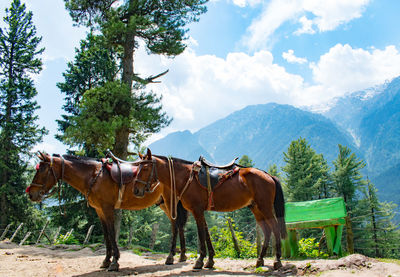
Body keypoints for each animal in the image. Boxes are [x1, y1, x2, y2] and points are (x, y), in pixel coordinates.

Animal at [26, 151, 189, 270]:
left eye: (42, 170)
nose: (31, 194)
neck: (94, 176)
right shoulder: (99, 211)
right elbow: (106, 235)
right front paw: (106, 260)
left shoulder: (108, 209)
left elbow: (111, 233)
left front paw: (115, 261)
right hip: (163, 204)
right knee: (178, 225)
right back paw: (182, 256)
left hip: (169, 202)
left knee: (175, 226)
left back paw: (171, 257)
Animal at [134, 149, 288, 270]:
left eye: (145, 168)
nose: (136, 190)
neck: (186, 178)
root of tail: (268, 175)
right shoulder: (200, 211)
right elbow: (206, 233)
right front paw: (210, 261)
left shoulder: (196, 210)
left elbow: (201, 233)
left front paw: (199, 261)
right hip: (256, 208)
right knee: (267, 230)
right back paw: (260, 260)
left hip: (265, 207)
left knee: (274, 227)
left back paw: (277, 260)